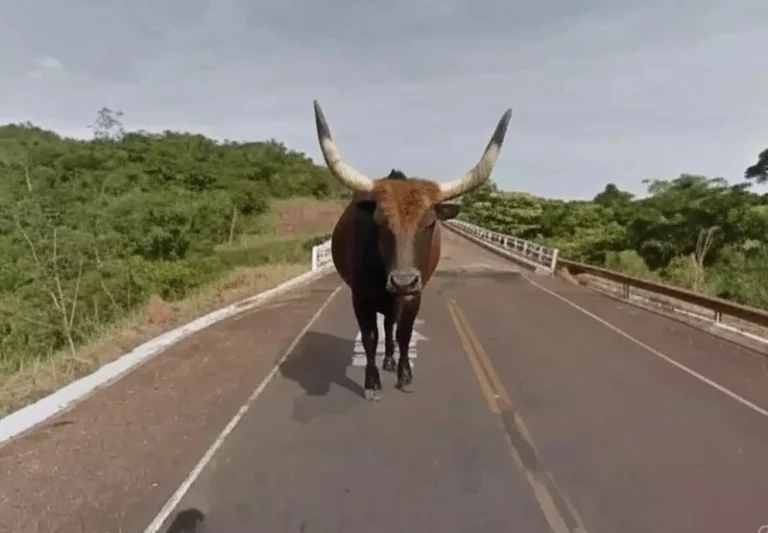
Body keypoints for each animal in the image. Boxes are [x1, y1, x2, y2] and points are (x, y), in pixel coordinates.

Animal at [313, 100, 512, 400]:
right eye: (380, 223)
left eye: (429, 223)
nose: (403, 280)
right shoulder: (360, 297)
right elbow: (369, 337)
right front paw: (372, 382)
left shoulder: (414, 296)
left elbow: (404, 334)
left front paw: (404, 374)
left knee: (391, 325)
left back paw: (390, 358)